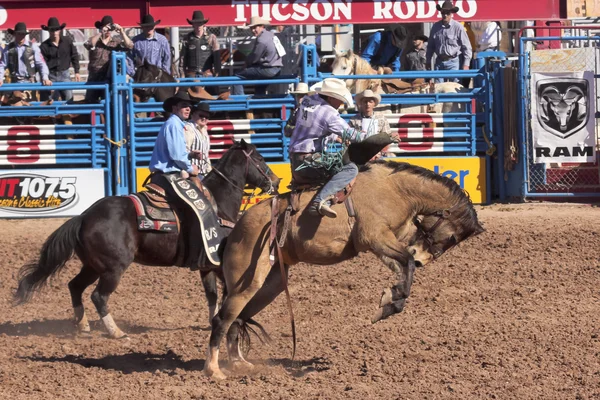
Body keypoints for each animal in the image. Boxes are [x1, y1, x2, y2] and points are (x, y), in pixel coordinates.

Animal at [14, 141, 282, 338]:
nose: (276, 181)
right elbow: (227, 293)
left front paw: (212, 321)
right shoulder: (221, 262)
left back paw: (83, 325)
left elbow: (212, 295)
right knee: (98, 296)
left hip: (92, 265)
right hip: (113, 268)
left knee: (75, 286)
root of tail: (83, 217)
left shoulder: (206, 265)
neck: (218, 205)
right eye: (259, 158)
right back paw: (116, 332)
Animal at [204, 159, 486, 378]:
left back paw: (238, 364)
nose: (422, 260)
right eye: (451, 237)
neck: (395, 190)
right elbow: (405, 262)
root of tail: (236, 229)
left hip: (269, 285)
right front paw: (388, 302)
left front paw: (390, 301)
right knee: (221, 319)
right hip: (246, 282)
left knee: (237, 319)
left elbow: (403, 270)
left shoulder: (389, 241)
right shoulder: (374, 238)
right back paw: (214, 370)